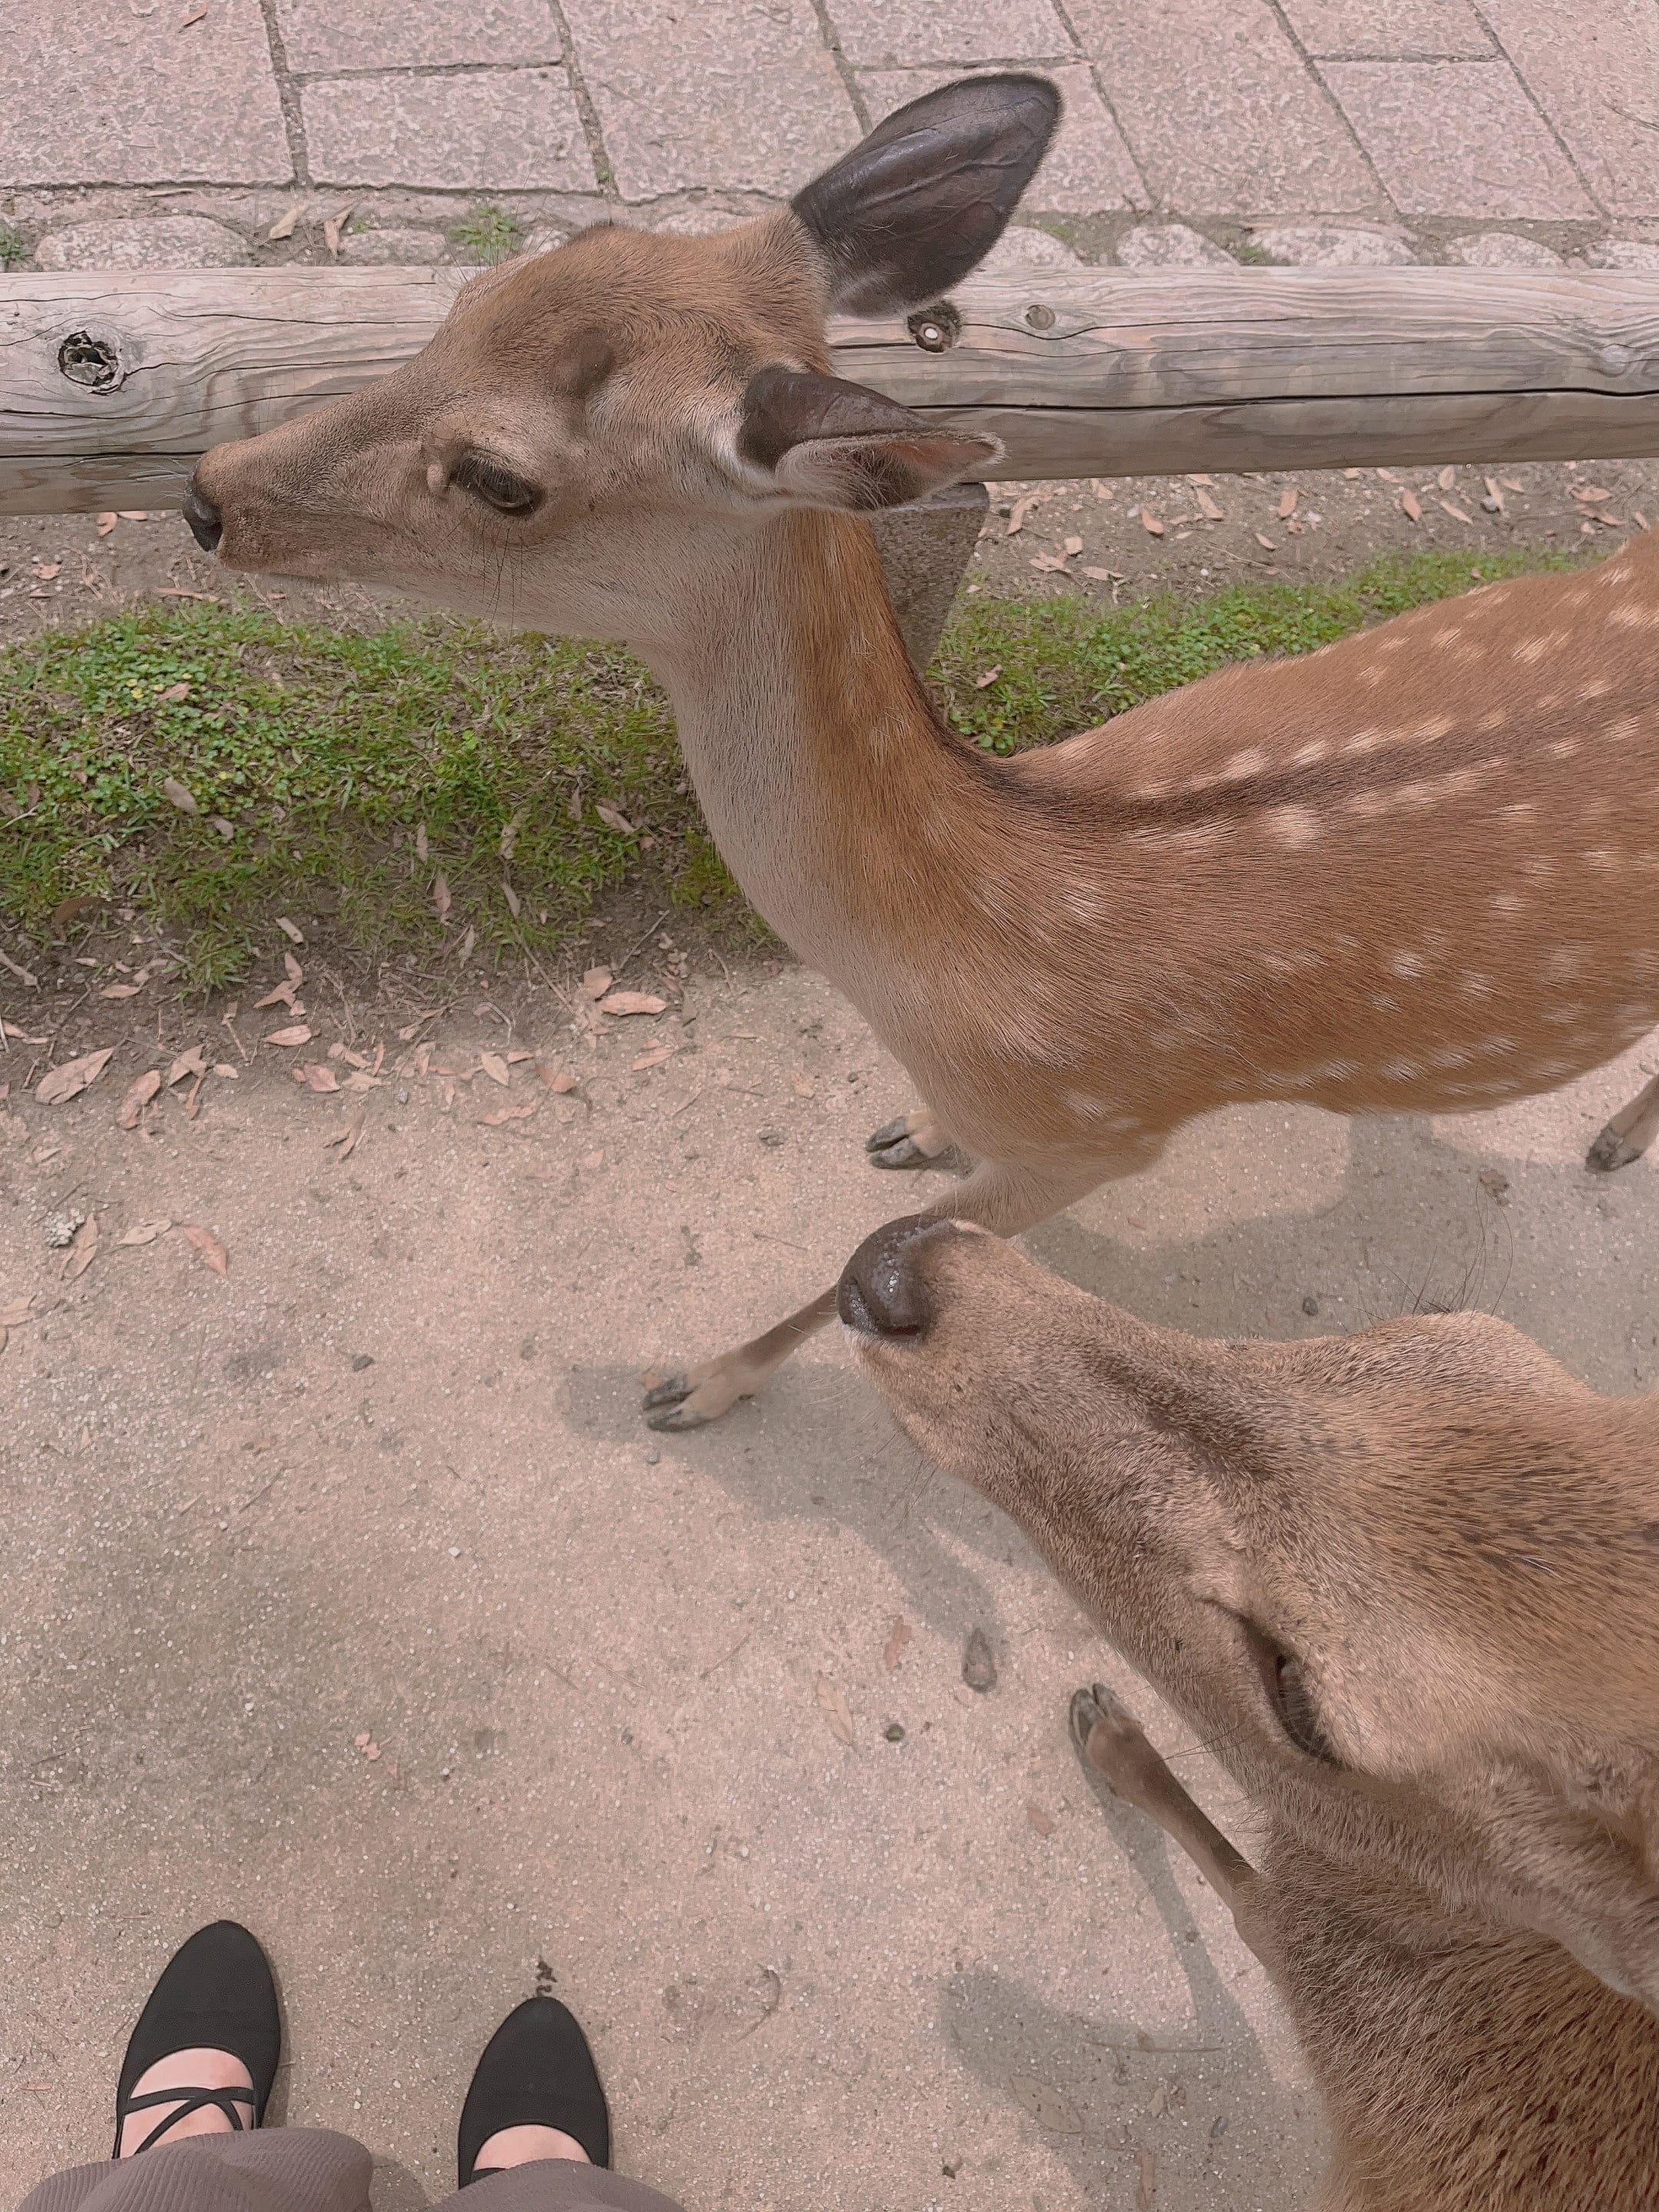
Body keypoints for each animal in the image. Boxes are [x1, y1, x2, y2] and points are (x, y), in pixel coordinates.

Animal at [184, 73, 1659, 1433]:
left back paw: (1610, 1141)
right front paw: (911, 1131)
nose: (207, 496)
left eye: (502, 480)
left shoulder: (1098, 1134)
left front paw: (696, 1384)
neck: (958, 957)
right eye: (471, 294)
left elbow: (869, 1259)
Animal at [836, 1212, 1659, 2212]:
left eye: (1300, 1699)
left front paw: (1107, 1733)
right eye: (1434, 1313)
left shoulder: (1304, 1962)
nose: (897, 1269)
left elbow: (1238, 1906)